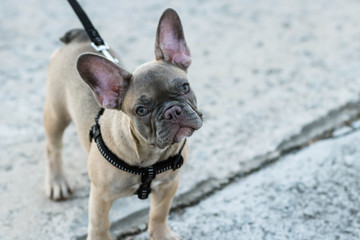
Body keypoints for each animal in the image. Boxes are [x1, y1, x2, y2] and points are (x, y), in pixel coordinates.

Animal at [43, 7, 202, 240]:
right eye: (141, 110)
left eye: (185, 87)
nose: (172, 111)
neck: (149, 157)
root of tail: (78, 37)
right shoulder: (100, 196)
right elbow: (99, 225)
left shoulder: (168, 185)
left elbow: (159, 212)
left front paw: (161, 234)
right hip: (56, 113)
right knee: (52, 147)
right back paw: (57, 182)